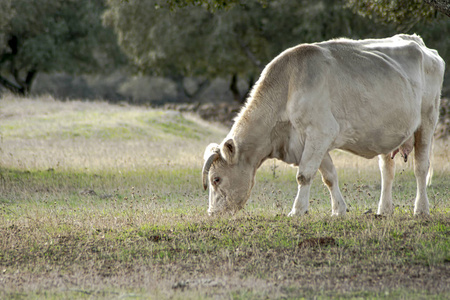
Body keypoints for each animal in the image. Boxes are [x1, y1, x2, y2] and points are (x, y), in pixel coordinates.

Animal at [202, 34, 444, 217]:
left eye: (216, 179)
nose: (212, 213)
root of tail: (418, 42)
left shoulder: (320, 132)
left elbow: (304, 175)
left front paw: (297, 211)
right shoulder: (310, 142)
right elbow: (329, 176)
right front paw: (339, 210)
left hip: (427, 121)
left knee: (421, 168)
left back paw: (421, 209)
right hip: (387, 132)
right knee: (387, 171)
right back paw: (383, 210)